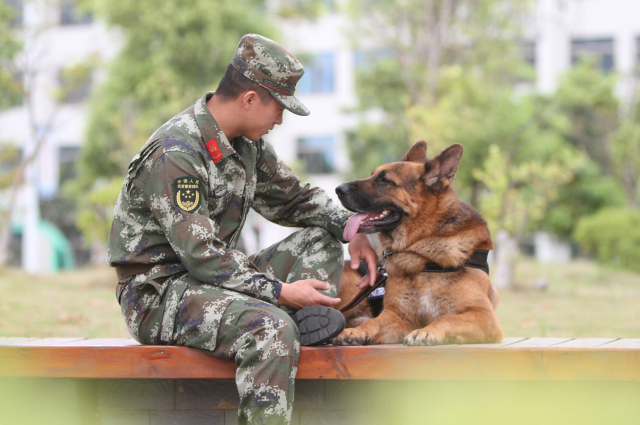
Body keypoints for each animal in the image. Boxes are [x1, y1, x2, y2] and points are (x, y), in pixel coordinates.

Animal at [332, 141, 502, 346]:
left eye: (384, 180)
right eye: (372, 174)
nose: (338, 189)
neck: (422, 254)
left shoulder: (485, 316)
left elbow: (446, 318)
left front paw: (427, 332)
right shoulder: (399, 315)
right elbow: (373, 322)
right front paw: (355, 332)